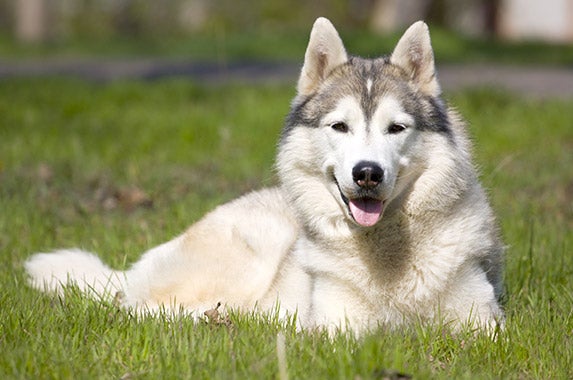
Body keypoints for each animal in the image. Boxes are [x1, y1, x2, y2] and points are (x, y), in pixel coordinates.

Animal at [24, 18, 502, 332]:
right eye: (340, 126)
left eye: (396, 128)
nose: (367, 173)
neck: (387, 257)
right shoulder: (335, 326)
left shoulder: (484, 322)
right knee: (138, 307)